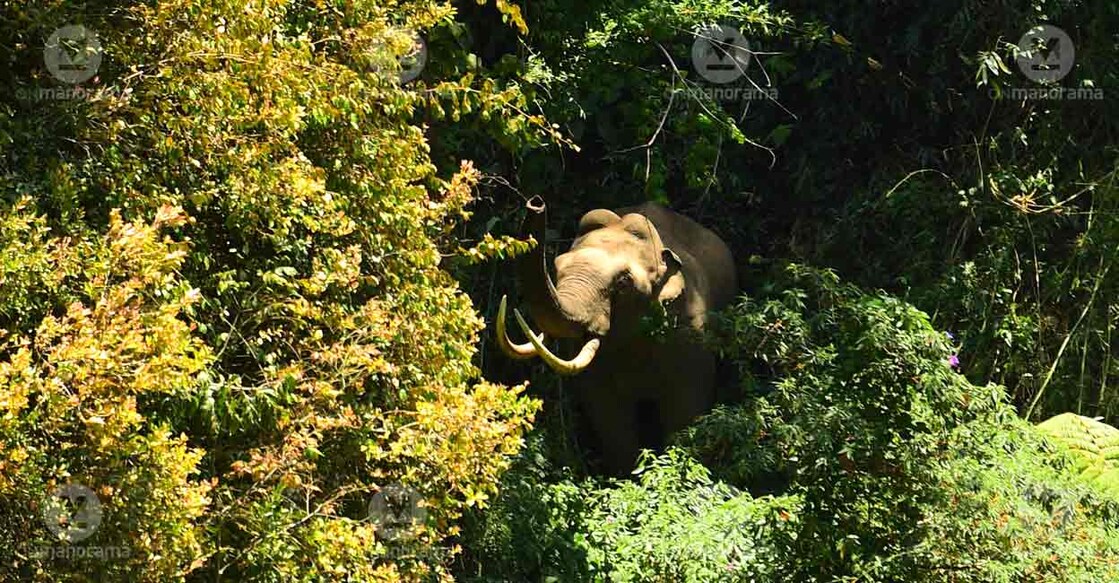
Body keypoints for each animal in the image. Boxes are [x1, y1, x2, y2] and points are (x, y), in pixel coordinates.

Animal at [496, 197, 737, 475]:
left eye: (623, 283)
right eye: (556, 269)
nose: (536, 204)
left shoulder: (692, 332)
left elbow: (687, 407)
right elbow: (607, 412)